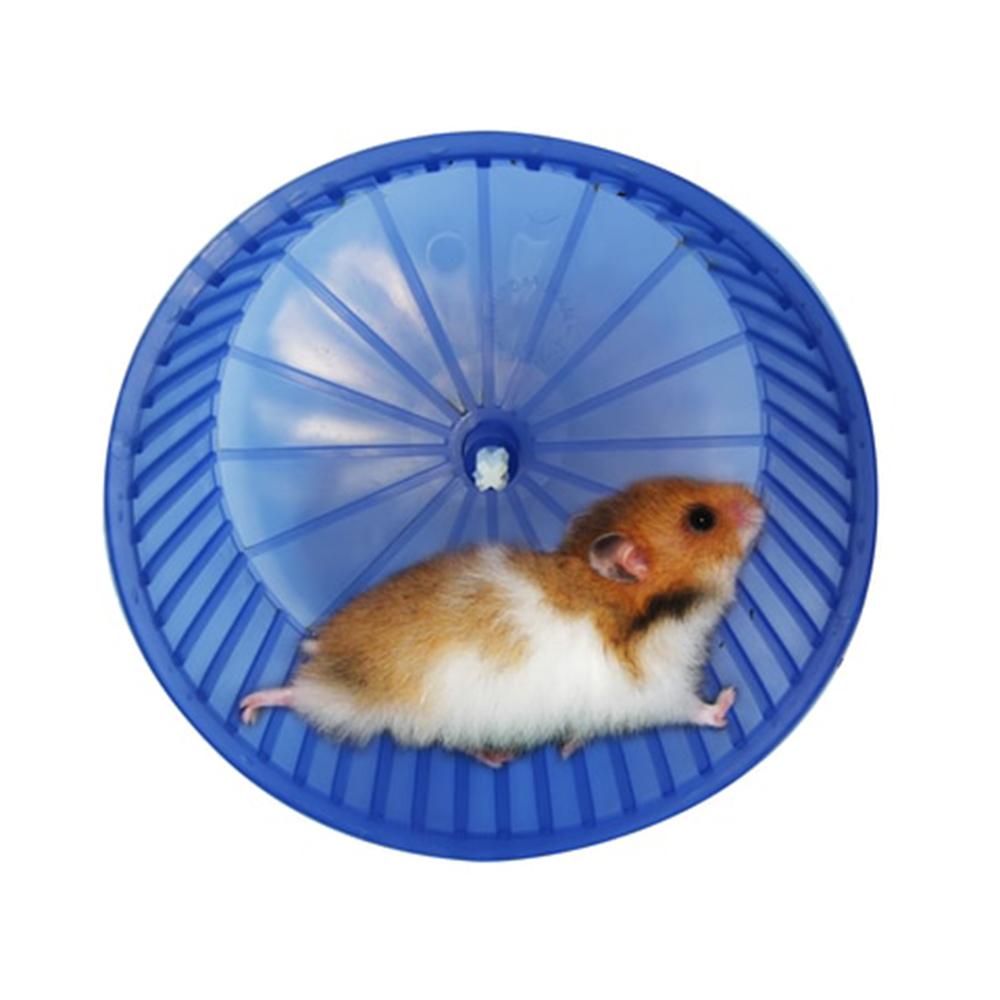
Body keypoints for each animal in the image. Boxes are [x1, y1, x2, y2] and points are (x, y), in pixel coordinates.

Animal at [240, 477, 765, 767]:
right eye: (701, 520)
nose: (761, 503)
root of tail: (323, 644)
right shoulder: (660, 690)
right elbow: (696, 710)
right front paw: (730, 699)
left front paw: (568, 750)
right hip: (355, 700)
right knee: (300, 695)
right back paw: (250, 708)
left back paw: (498, 758)